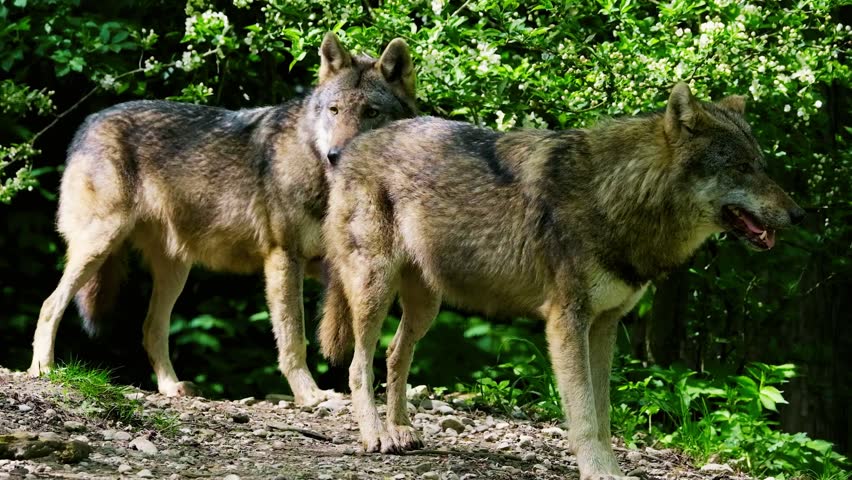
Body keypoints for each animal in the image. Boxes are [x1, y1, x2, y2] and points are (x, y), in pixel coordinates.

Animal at [28, 32, 417, 406]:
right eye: (334, 111)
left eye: (371, 112)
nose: (336, 155)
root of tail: (89, 122)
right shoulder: (283, 257)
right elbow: (294, 337)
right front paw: (309, 395)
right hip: (99, 245)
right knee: (50, 305)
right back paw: (43, 369)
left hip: (174, 270)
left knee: (151, 329)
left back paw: (170, 387)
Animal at [319, 83, 804, 479]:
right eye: (741, 168)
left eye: (762, 166)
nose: (800, 214)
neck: (619, 195)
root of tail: (353, 147)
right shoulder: (567, 321)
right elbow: (585, 414)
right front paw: (598, 471)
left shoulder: (605, 324)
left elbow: (603, 413)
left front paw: (610, 469)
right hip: (375, 289)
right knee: (359, 366)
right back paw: (377, 435)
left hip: (426, 306)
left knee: (395, 354)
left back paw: (402, 429)